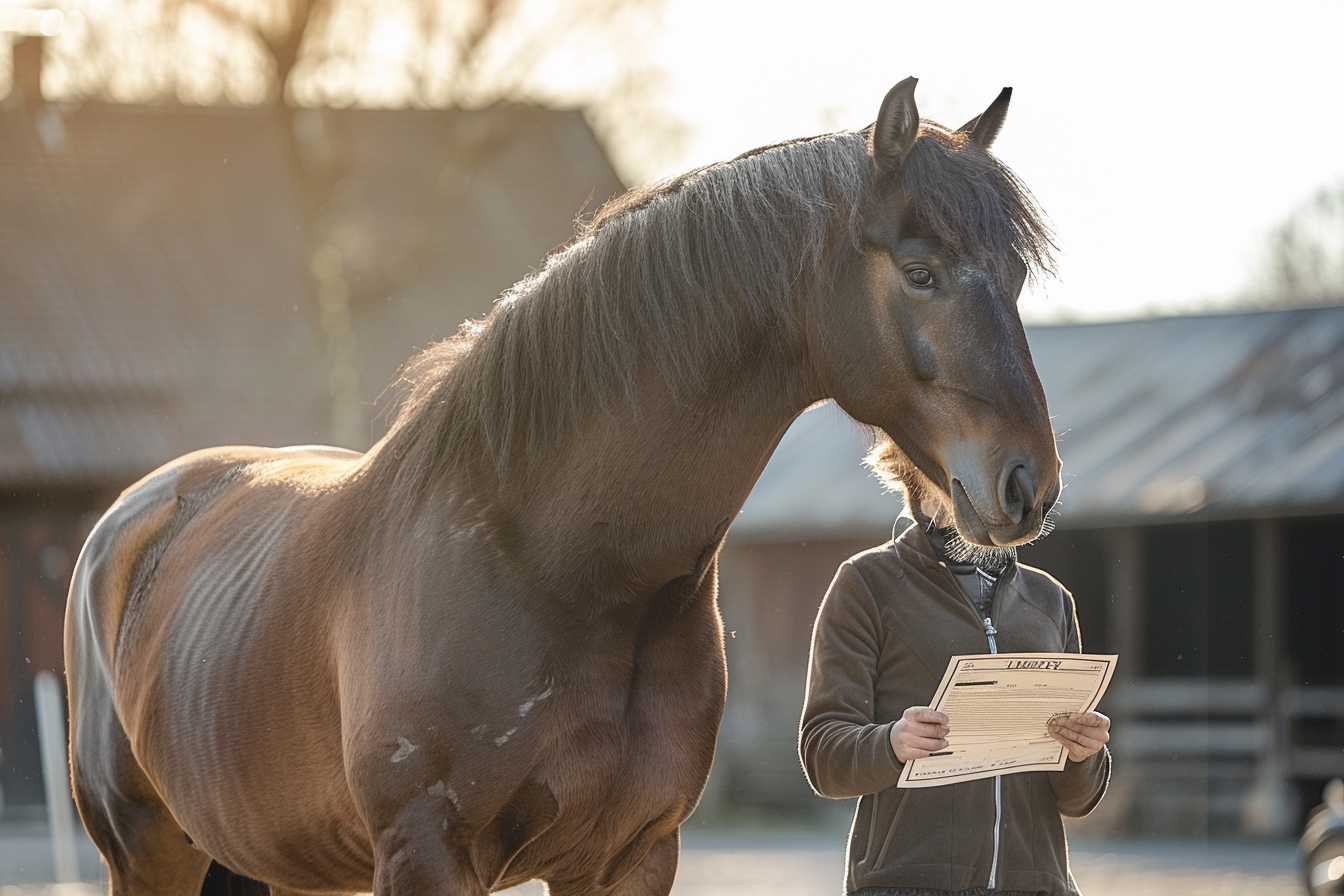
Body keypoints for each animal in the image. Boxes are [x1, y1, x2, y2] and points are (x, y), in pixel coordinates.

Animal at [65, 78, 1059, 896]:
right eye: (920, 271)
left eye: (1015, 276)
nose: (1028, 485)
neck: (552, 566)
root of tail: (135, 517)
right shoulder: (426, 855)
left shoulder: (630, 855)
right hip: (147, 852)